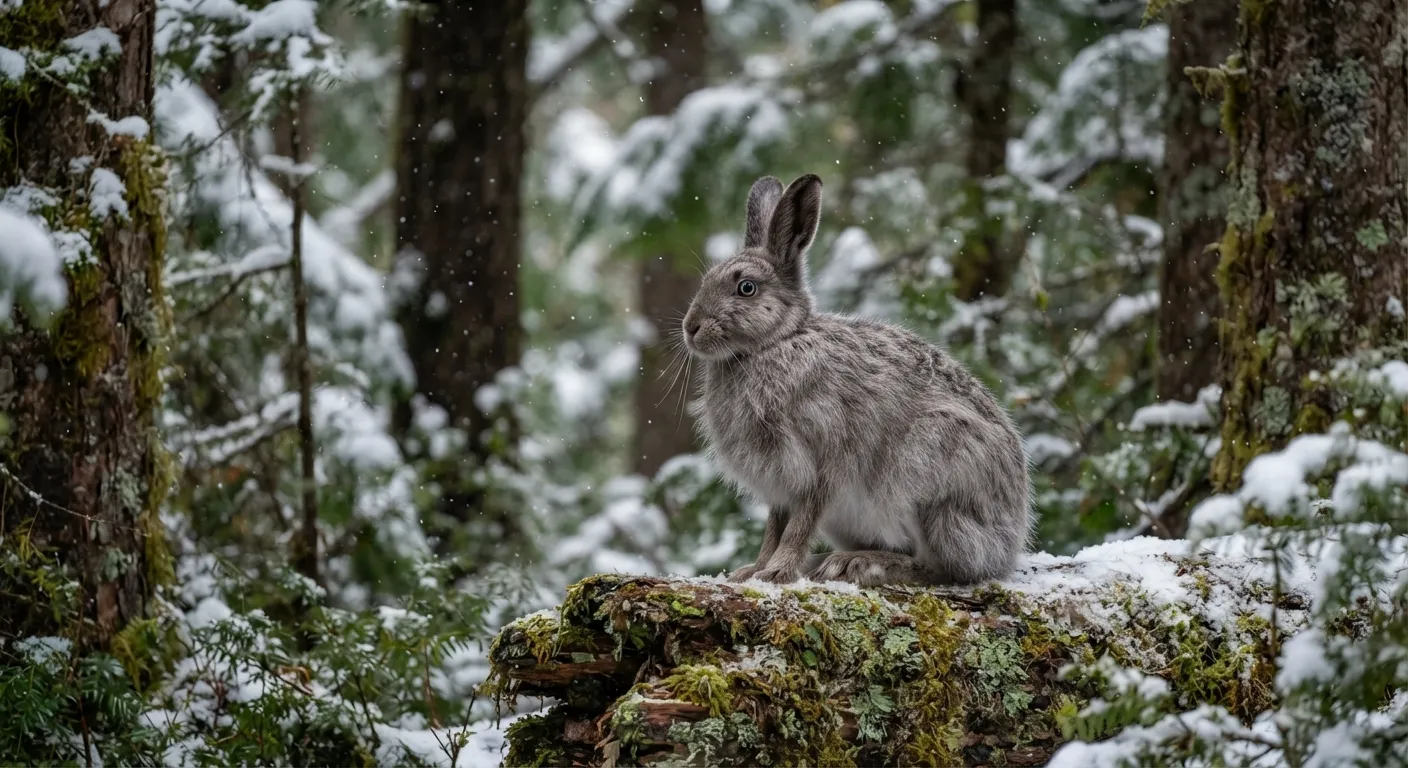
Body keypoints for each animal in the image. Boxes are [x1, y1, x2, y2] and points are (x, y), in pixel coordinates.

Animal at [682, 173, 1033, 587]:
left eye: (746, 288)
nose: (691, 328)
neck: (777, 342)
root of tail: (1009, 542)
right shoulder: (780, 487)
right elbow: (774, 527)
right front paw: (752, 571)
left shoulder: (821, 463)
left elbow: (799, 525)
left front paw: (778, 572)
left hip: (930, 479)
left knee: (942, 566)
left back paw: (859, 564)